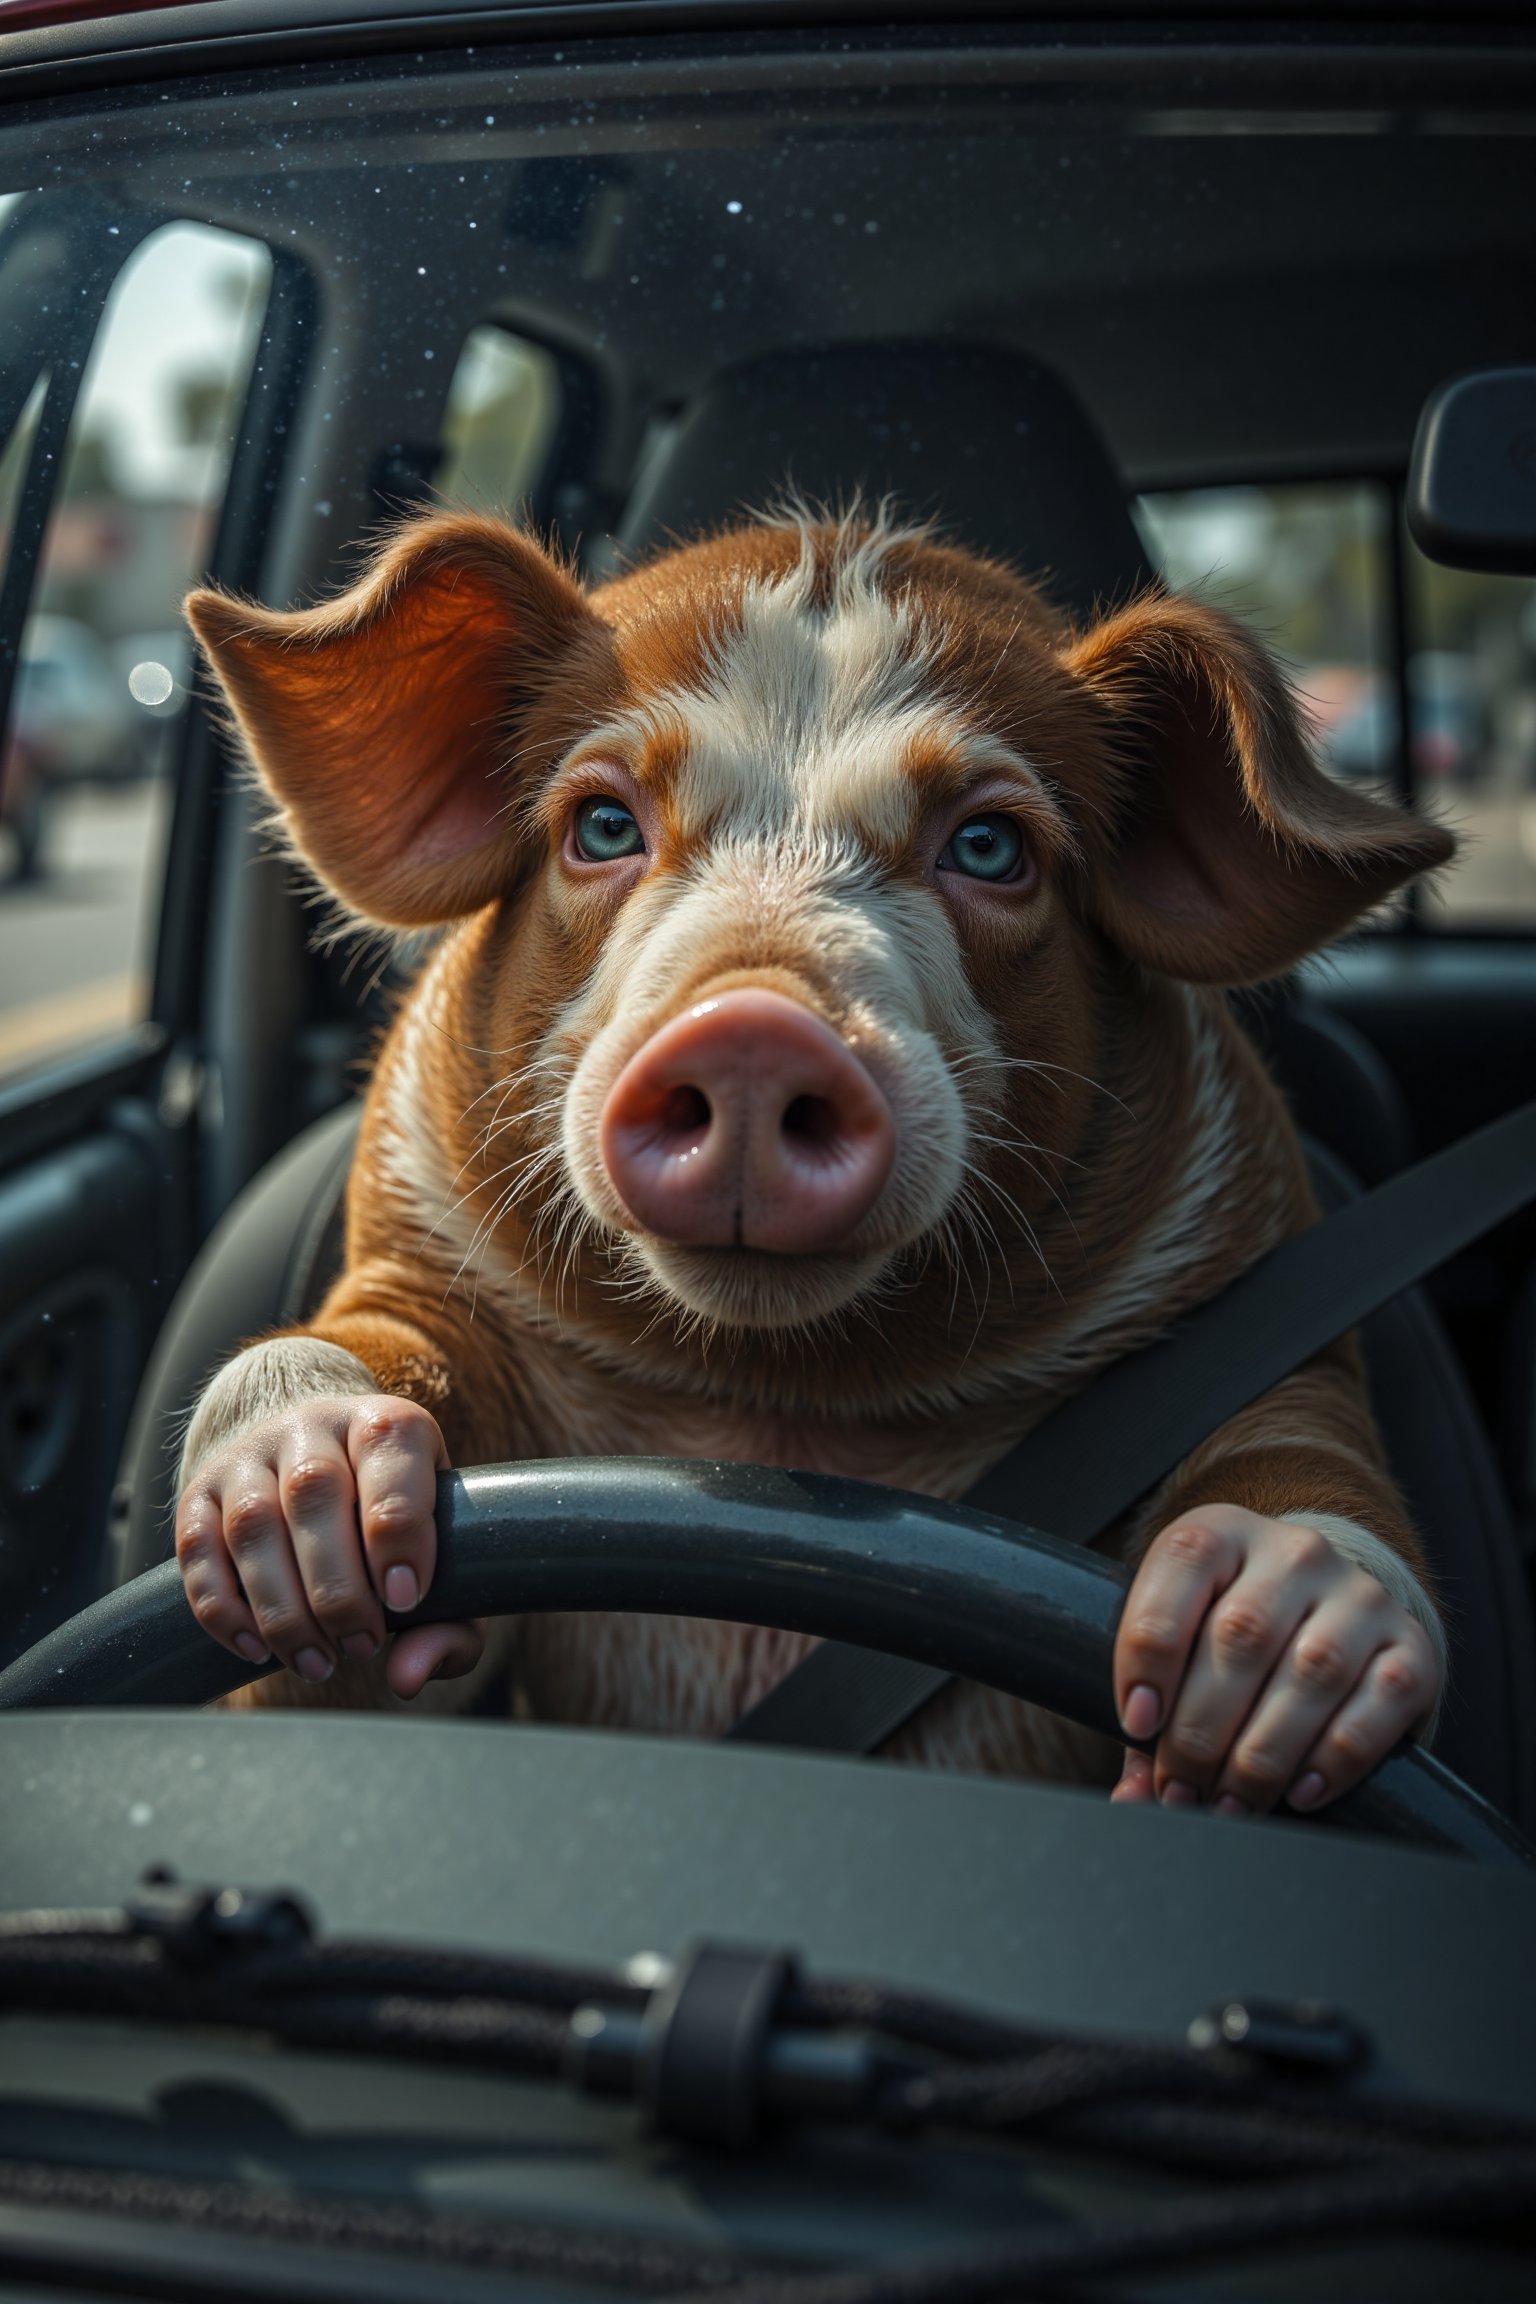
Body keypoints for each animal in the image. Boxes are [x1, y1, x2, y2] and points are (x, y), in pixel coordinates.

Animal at [174, 505, 1453, 1817]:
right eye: (601, 826)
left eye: (989, 845)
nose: (753, 1025)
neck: (781, 1402)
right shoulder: (420, 1248)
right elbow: (375, 1385)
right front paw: (307, 1514)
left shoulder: (1253, 1261)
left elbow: (1297, 1432)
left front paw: (1262, 1656)